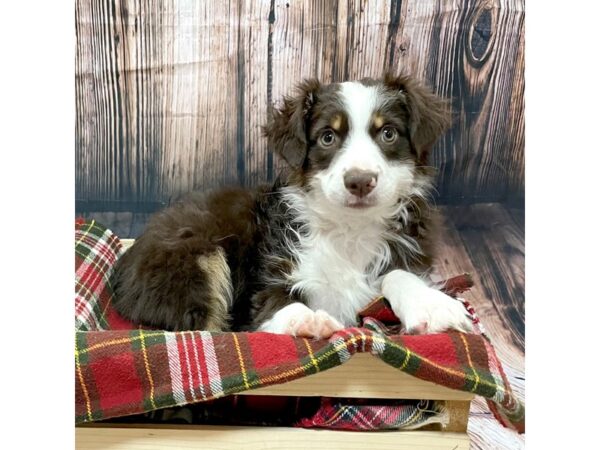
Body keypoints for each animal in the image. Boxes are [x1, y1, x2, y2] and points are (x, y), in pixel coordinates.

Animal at [109, 72, 474, 338]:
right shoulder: (266, 277)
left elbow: (398, 274)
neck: (349, 228)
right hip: (196, 256)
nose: (359, 181)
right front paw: (308, 321)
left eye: (388, 133)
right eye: (327, 137)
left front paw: (431, 306)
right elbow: (274, 300)